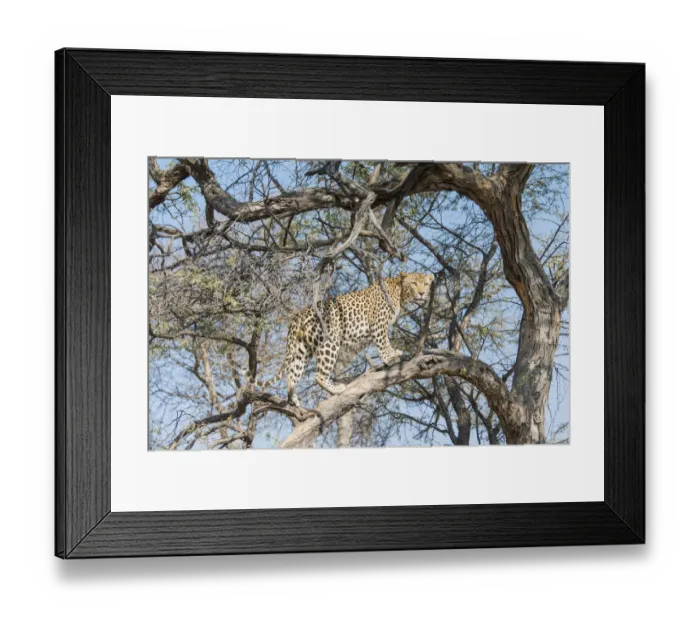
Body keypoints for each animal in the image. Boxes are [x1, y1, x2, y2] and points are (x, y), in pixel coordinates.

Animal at [247, 272, 434, 406]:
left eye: (425, 284)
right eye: (414, 283)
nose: (422, 293)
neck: (400, 294)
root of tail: (298, 315)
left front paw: (392, 354)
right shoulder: (379, 324)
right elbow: (383, 342)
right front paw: (391, 357)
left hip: (302, 349)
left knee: (292, 374)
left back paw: (293, 400)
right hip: (329, 342)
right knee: (319, 376)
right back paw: (336, 389)